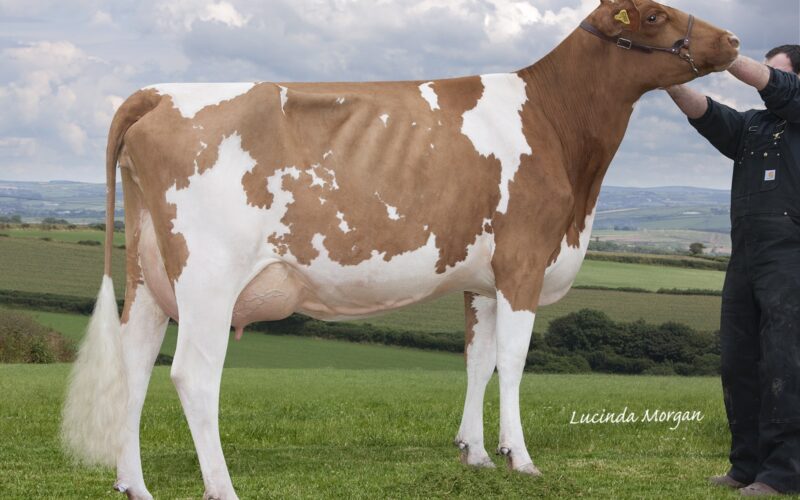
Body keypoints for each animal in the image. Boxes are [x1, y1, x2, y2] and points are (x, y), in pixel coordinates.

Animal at [61, 1, 739, 498]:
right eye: (654, 15)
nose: (732, 40)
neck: (556, 127)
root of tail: (159, 92)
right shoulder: (523, 260)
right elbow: (514, 361)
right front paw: (518, 457)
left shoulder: (481, 278)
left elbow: (478, 359)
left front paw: (474, 453)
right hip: (207, 276)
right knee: (193, 375)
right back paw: (222, 487)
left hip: (149, 276)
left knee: (135, 364)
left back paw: (133, 485)